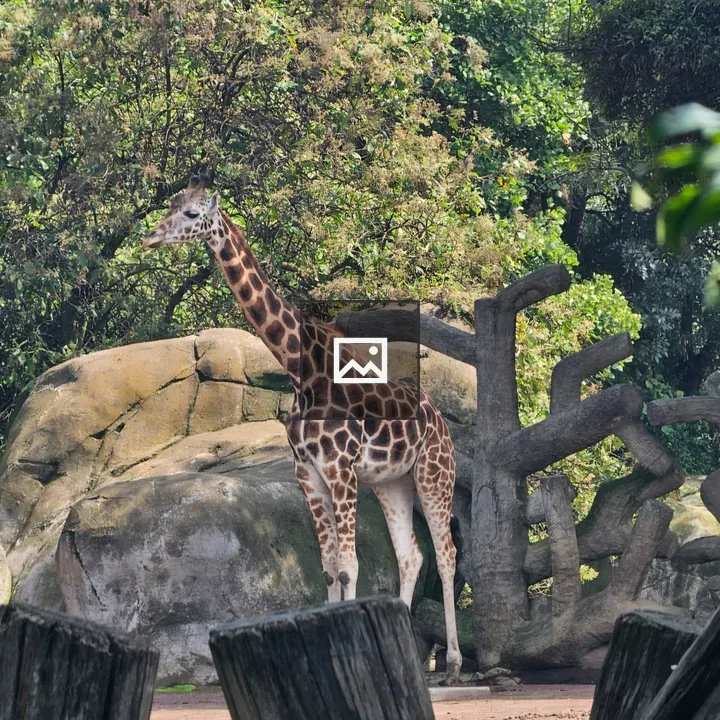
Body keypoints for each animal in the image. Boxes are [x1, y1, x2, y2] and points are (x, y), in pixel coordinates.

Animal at [144, 176, 462, 680]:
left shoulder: (340, 467)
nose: (151, 237)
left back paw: (452, 664)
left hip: (434, 474)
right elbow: (329, 565)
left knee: (446, 554)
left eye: (193, 214)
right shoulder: (307, 472)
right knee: (411, 555)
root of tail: (439, 418)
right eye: (172, 204)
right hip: (392, 482)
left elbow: (349, 565)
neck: (300, 370)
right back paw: (411, 657)